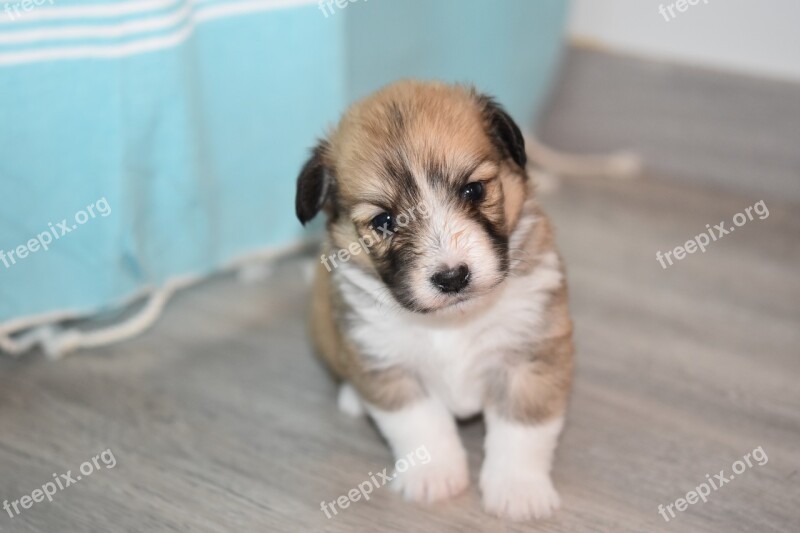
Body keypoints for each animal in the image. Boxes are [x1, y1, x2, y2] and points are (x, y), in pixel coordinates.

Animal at [296, 80, 572, 520]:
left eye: (473, 190)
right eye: (384, 221)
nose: (452, 277)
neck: (452, 322)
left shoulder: (529, 358)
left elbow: (522, 431)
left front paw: (518, 490)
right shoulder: (391, 367)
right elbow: (421, 426)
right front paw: (435, 477)